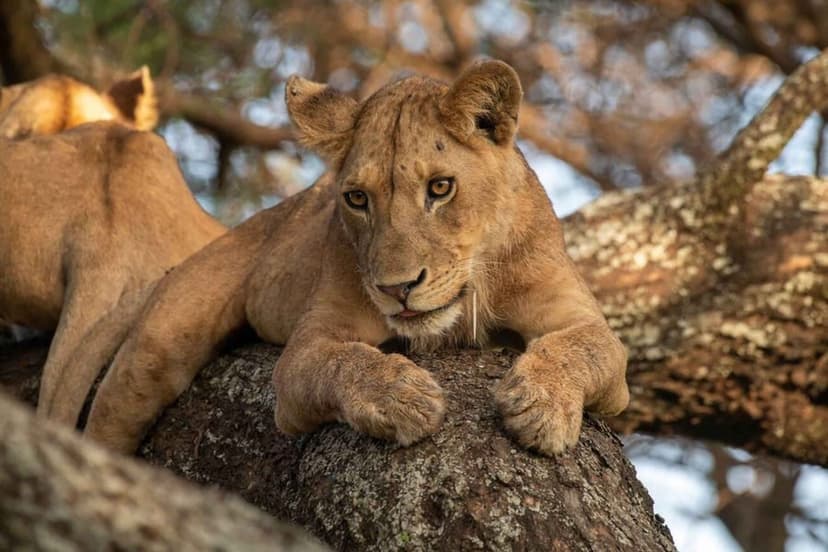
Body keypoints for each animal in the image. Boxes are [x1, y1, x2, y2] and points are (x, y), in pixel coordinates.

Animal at [81, 60, 629, 456]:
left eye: (440, 188)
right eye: (357, 198)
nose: (396, 288)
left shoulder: (578, 317)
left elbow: (585, 348)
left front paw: (539, 405)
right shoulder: (310, 344)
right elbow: (339, 362)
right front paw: (401, 395)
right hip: (155, 348)